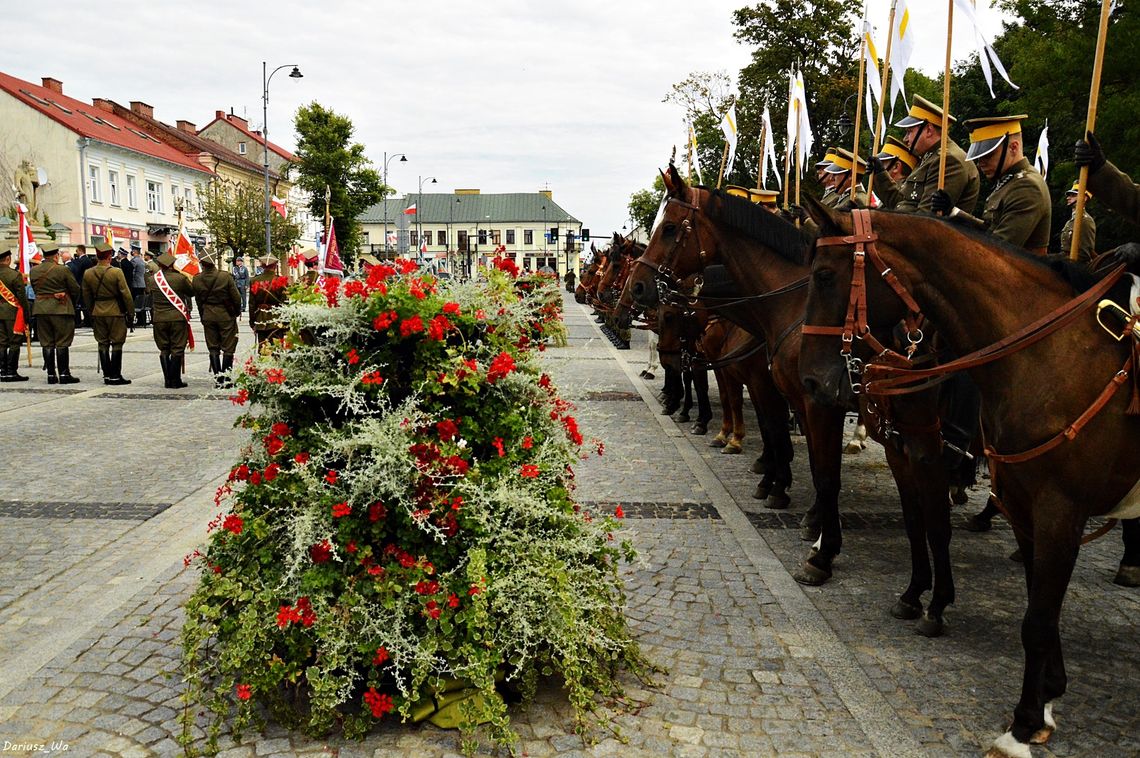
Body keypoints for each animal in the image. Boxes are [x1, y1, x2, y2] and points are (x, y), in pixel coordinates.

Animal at [620, 162, 957, 633]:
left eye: (669, 228)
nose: (635, 288)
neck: (791, 305)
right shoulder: (782, 391)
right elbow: (799, 453)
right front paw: (798, 506)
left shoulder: (809, 401)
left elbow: (817, 467)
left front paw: (819, 547)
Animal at [802, 202, 1140, 756]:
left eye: (825, 275)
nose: (811, 380)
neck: (1050, 357)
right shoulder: (1015, 501)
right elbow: (1032, 600)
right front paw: (1048, 695)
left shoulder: (1054, 509)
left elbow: (1033, 614)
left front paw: (1020, 725)